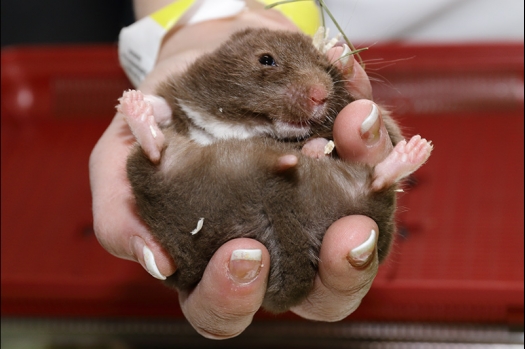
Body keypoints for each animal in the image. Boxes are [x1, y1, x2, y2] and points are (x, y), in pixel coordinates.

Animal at [122, 27, 430, 312]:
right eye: (267, 60)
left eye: (321, 64)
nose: (321, 94)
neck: (252, 125)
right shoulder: (185, 98)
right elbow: (169, 107)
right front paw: (131, 99)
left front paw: (314, 145)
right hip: (158, 184)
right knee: (153, 155)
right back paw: (134, 108)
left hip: (363, 206)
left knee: (376, 184)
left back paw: (416, 149)